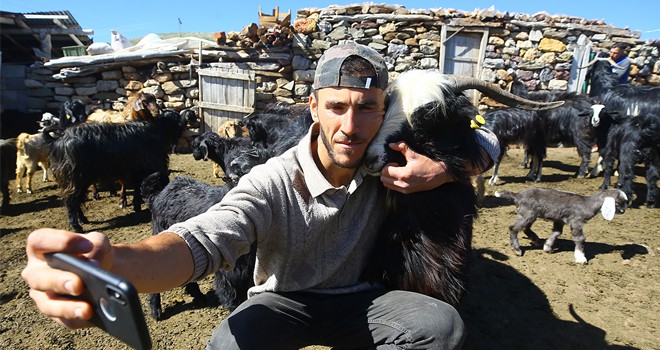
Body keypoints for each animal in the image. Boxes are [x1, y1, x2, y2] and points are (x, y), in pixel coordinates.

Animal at [44, 108, 187, 231]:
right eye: (176, 121)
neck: (157, 131)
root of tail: (59, 140)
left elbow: (137, 187)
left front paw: (136, 206)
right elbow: (138, 188)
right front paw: (137, 205)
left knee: (75, 200)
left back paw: (84, 219)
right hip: (75, 178)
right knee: (71, 201)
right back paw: (77, 226)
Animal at [496, 187, 628, 264]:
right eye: (619, 201)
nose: (624, 211)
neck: (589, 204)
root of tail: (517, 195)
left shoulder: (559, 219)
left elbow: (557, 232)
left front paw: (547, 247)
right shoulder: (576, 220)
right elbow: (580, 238)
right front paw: (581, 258)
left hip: (530, 214)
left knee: (525, 227)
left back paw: (536, 240)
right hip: (527, 213)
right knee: (513, 227)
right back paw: (517, 249)